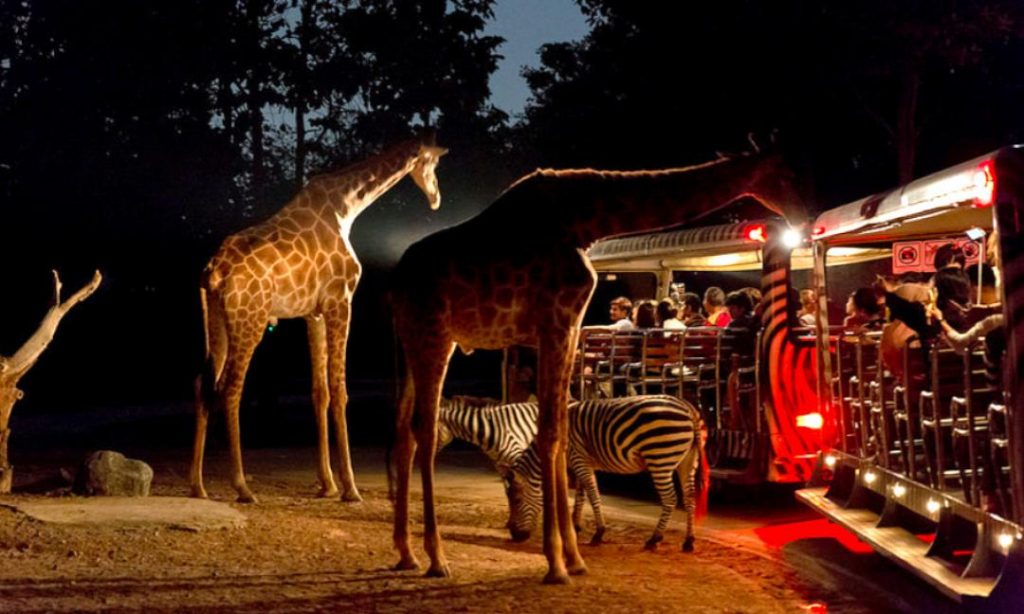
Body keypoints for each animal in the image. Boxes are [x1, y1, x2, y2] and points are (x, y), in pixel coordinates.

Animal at [192, 134, 448, 503]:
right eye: (432, 163)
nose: (436, 198)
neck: (346, 207)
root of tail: (214, 272)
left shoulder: (312, 313)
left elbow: (319, 391)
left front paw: (327, 483)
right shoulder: (340, 301)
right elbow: (340, 390)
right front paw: (350, 488)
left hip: (214, 318)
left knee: (203, 383)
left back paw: (197, 485)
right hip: (250, 320)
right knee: (230, 387)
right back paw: (241, 486)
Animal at [391, 148, 806, 581]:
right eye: (786, 173)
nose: (803, 215)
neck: (586, 222)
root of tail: (395, 283)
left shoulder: (570, 325)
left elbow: (557, 433)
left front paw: (572, 557)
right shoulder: (557, 321)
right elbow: (551, 435)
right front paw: (557, 562)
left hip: (417, 339)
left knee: (403, 427)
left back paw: (407, 552)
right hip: (434, 334)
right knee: (423, 427)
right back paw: (436, 557)